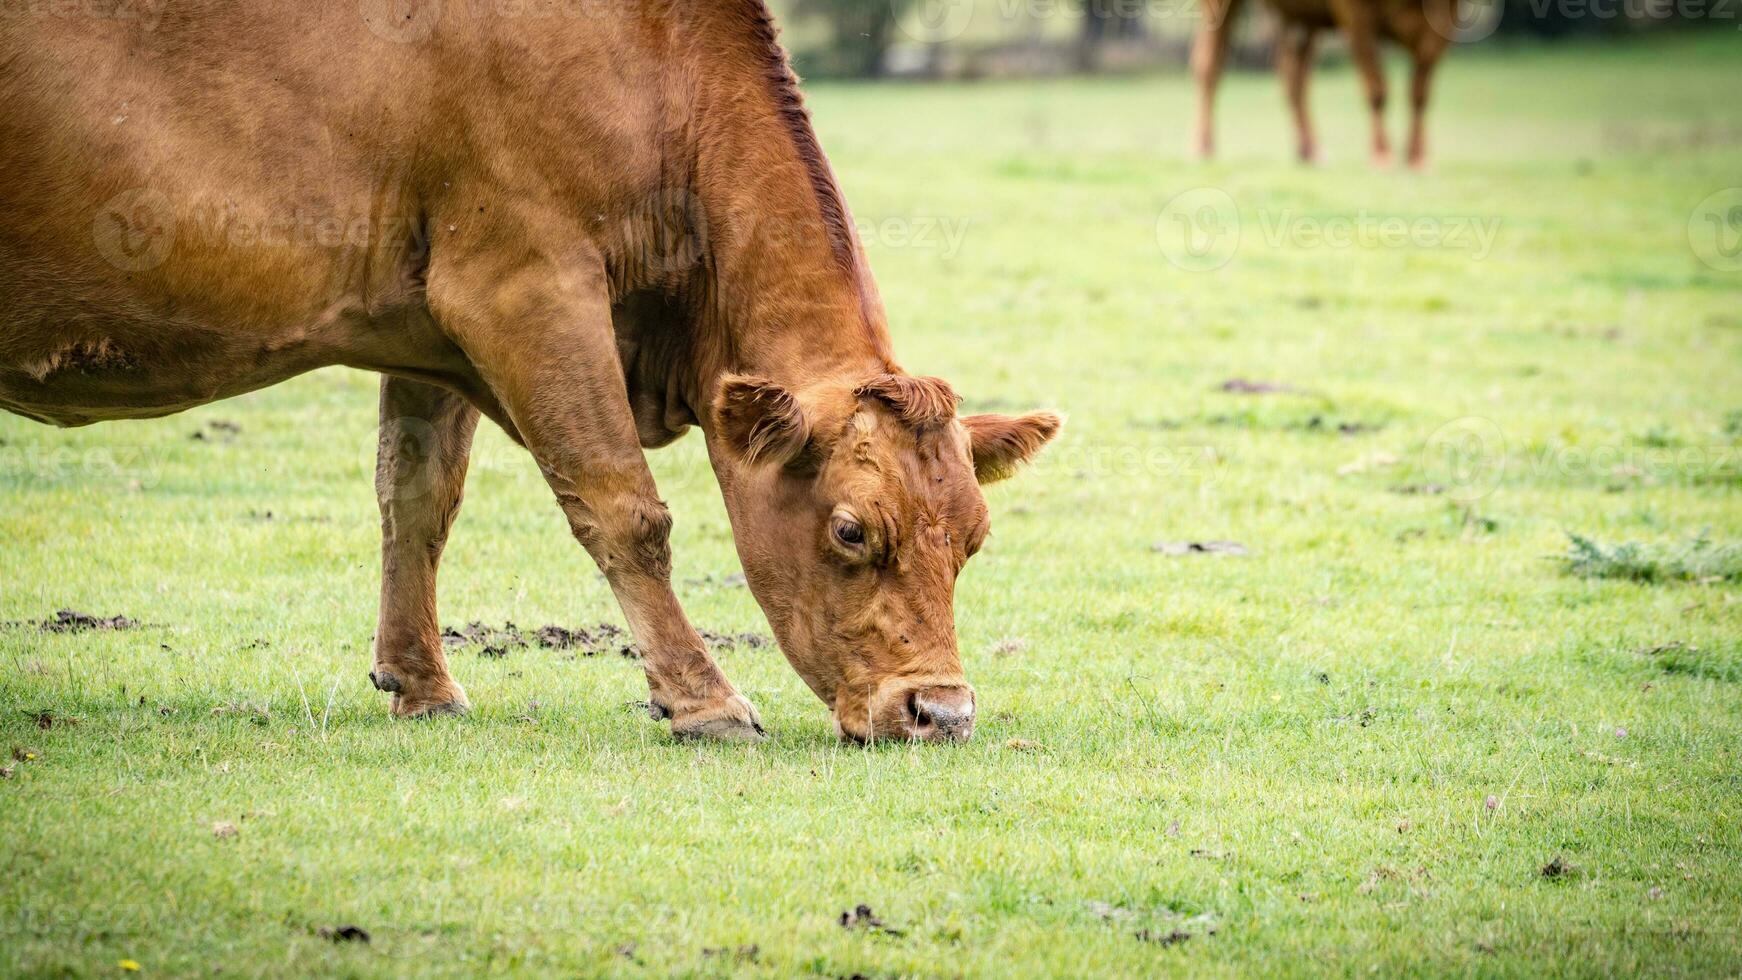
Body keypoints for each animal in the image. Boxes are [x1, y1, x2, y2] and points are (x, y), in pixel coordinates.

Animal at [0, 1, 1059, 745]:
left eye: (974, 538)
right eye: (850, 530)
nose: (943, 714)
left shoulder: (425, 329)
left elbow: (417, 499)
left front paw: (421, 683)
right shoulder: (526, 288)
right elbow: (627, 510)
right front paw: (703, 699)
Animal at [1191, 0, 1463, 166]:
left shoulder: (1442, 23)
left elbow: (1420, 93)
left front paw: (1417, 158)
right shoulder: (1356, 18)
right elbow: (1377, 88)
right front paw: (1382, 155)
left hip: (1301, 18)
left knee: (1294, 77)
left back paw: (1310, 150)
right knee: (1209, 65)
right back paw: (1203, 146)